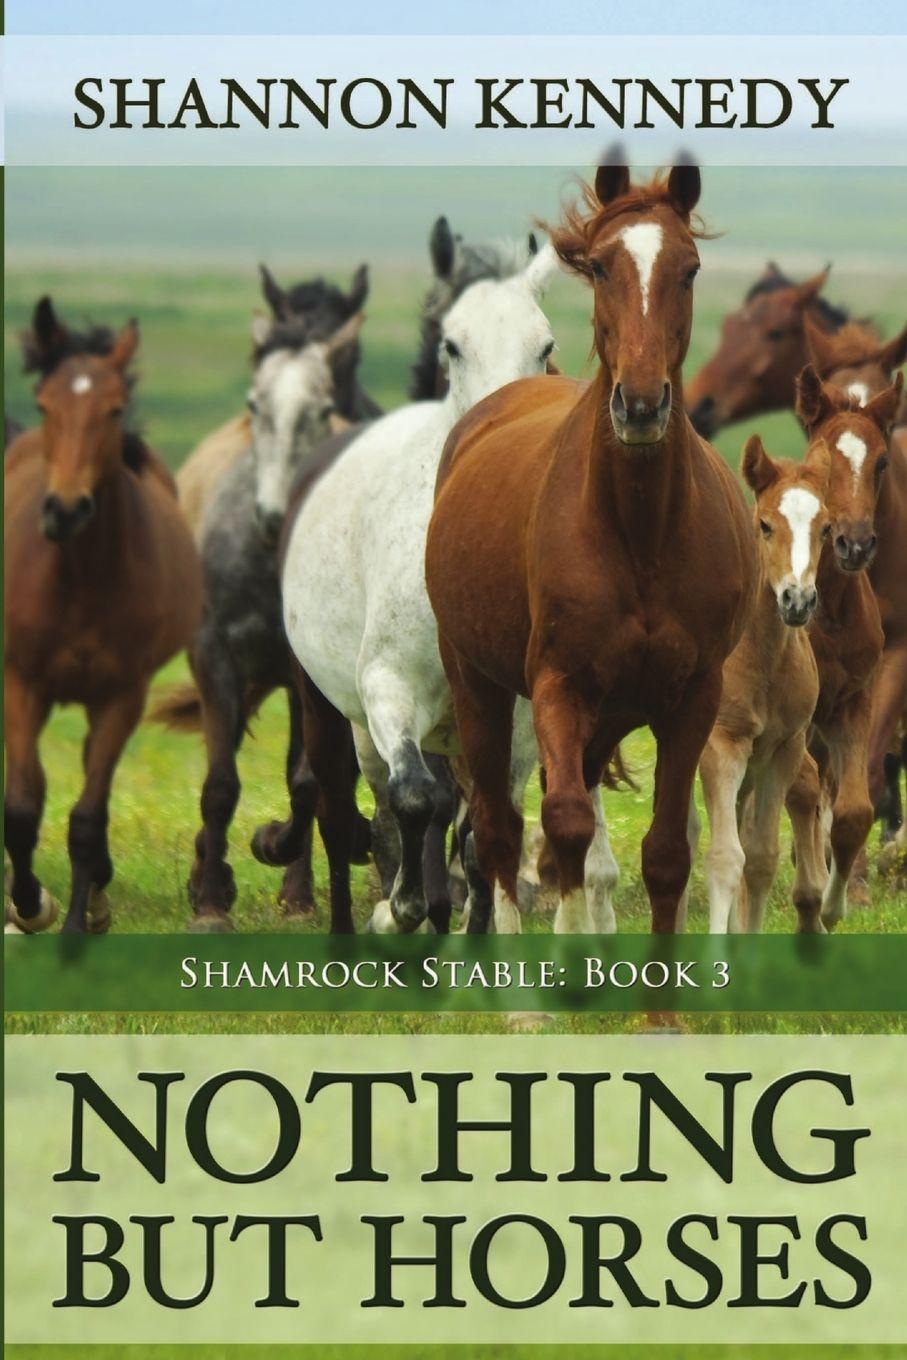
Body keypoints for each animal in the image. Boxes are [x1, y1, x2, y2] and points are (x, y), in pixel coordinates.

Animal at [4, 297, 202, 934]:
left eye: (113, 410)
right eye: (44, 405)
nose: (65, 510)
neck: (79, 579)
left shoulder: (122, 695)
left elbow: (87, 818)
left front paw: (77, 919)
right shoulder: (22, 684)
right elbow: (22, 807)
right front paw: (30, 905)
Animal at [149, 313, 363, 930]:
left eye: (322, 407)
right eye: (254, 403)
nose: (272, 515)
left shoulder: (304, 677)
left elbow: (306, 782)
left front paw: (283, 866)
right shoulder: (214, 655)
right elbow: (220, 784)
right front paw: (210, 902)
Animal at [271, 241, 560, 934]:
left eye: (545, 346)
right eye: (451, 345)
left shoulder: (511, 726)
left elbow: (483, 837)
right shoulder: (389, 688)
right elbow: (412, 800)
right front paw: (398, 912)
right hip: (331, 710)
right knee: (345, 807)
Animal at [426, 159, 756, 936]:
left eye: (690, 269)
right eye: (602, 267)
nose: (639, 405)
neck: (640, 536)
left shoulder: (690, 697)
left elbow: (665, 853)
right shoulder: (559, 683)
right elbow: (565, 822)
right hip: (477, 684)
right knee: (498, 829)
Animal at [683, 438, 830, 934]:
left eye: (826, 529)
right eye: (765, 525)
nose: (797, 600)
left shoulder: (783, 747)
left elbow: (761, 858)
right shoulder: (722, 744)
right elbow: (726, 857)